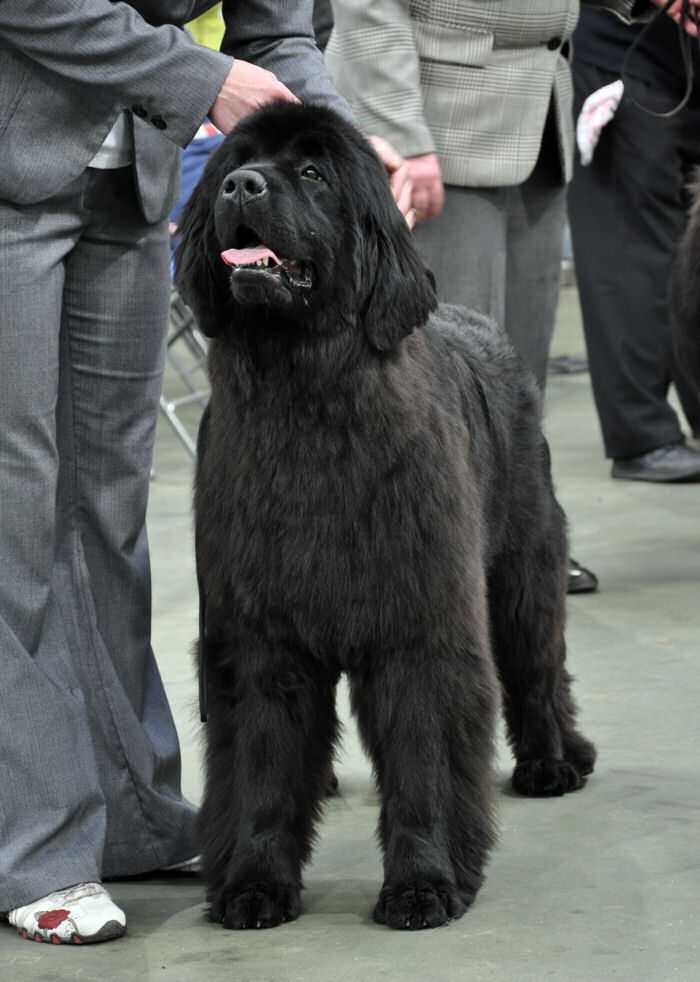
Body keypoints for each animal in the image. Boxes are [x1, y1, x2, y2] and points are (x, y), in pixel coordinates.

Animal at [172, 104, 592, 936]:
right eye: (238, 161)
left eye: (312, 172)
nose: (241, 185)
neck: (305, 400)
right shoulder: (258, 635)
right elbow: (263, 763)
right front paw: (254, 884)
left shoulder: (415, 622)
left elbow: (422, 755)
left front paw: (424, 883)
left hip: (523, 566)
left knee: (538, 664)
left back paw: (555, 759)